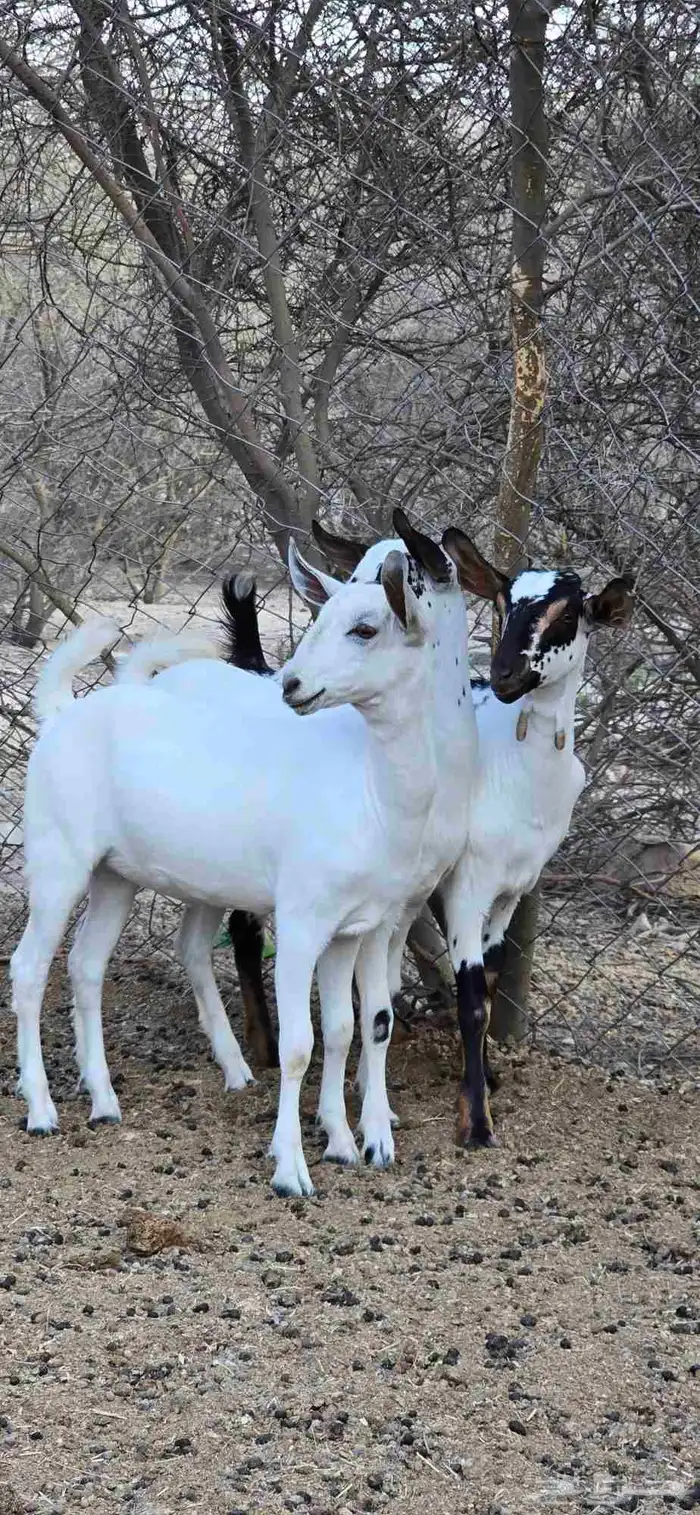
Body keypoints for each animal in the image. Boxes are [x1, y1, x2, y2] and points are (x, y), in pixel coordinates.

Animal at [12, 539, 487, 1195]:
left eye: (365, 627)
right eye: (321, 614)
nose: (293, 684)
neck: (370, 788)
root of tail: (60, 714)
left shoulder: (353, 928)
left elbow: (346, 1027)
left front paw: (344, 1144)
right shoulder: (301, 919)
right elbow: (299, 1045)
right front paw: (291, 1169)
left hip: (116, 875)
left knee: (85, 964)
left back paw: (105, 1101)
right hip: (58, 858)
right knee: (29, 967)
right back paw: (41, 1109)